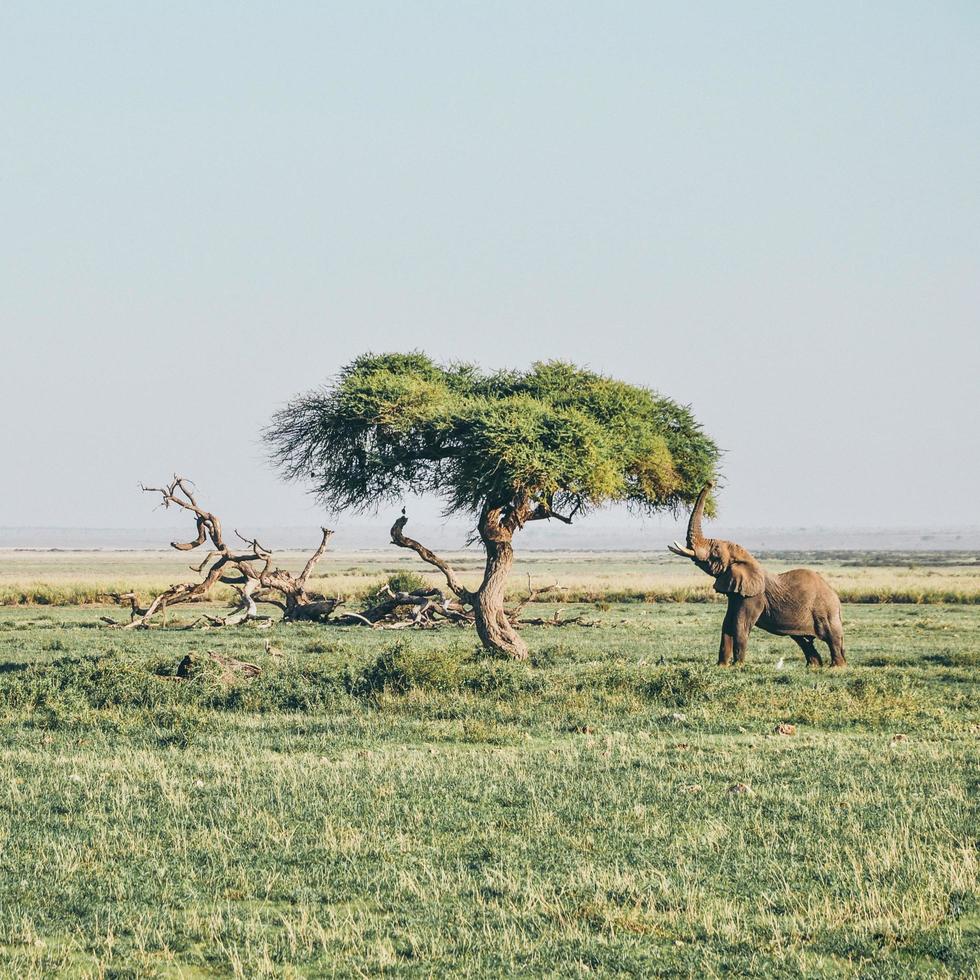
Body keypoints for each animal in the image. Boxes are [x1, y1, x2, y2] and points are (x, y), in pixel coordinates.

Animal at [668, 482, 848, 668]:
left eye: (715, 552)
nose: (710, 483)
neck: (747, 560)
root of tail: (835, 596)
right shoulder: (737, 593)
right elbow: (727, 624)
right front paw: (722, 666)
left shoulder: (753, 596)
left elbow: (740, 625)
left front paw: (738, 666)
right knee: (802, 639)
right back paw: (813, 666)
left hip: (826, 610)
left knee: (832, 637)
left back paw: (836, 668)